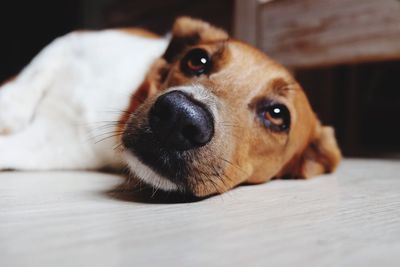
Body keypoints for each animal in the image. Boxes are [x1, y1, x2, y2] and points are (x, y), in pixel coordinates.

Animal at [0, 16, 340, 197]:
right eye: (197, 59)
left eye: (277, 115)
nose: (179, 117)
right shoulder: (69, 43)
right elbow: (27, 83)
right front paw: (11, 108)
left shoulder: (51, 144)